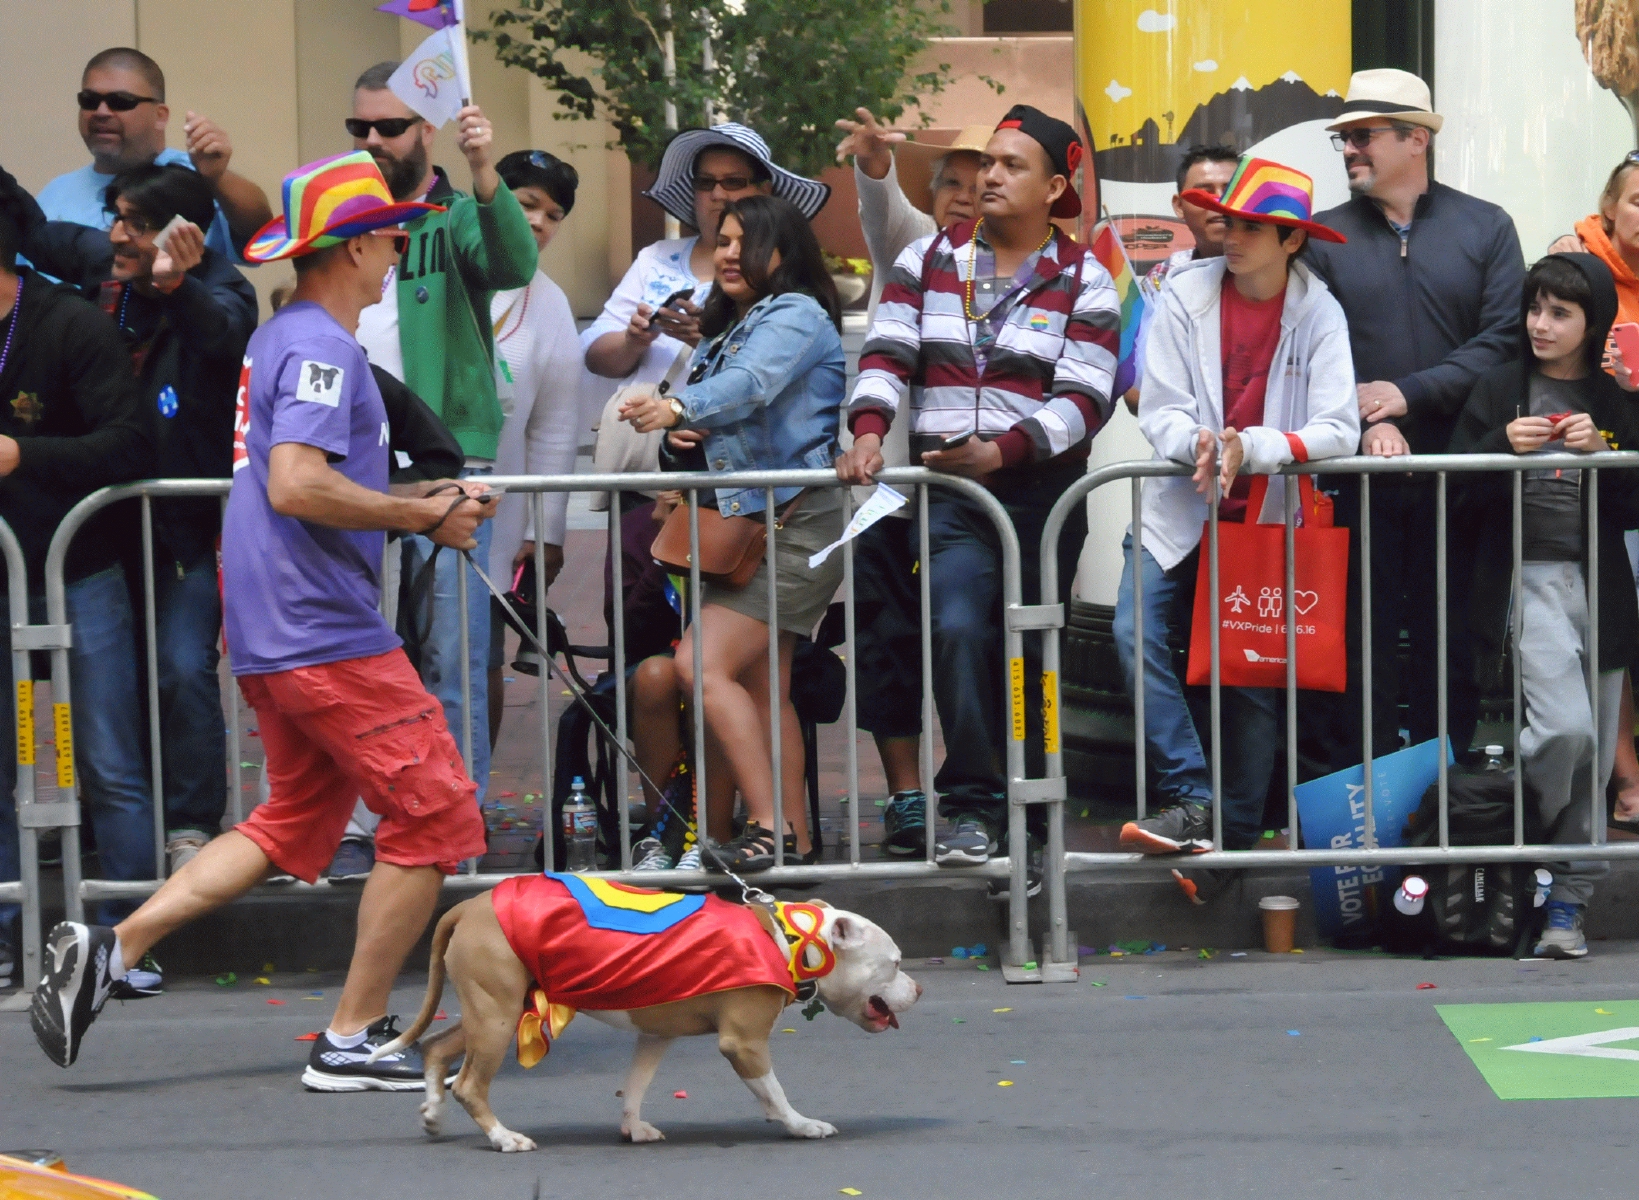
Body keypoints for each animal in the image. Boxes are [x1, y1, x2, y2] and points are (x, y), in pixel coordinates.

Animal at [370, 878, 924, 1147]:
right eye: (895, 963)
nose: (918, 989)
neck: (788, 942)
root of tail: (471, 905)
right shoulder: (743, 1042)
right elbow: (774, 1091)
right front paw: (800, 1124)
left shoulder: (655, 1035)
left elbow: (635, 1085)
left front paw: (633, 1127)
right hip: (499, 1017)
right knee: (470, 1084)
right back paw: (504, 1137)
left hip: (492, 1010)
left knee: (436, 1047)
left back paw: (433, 1113)